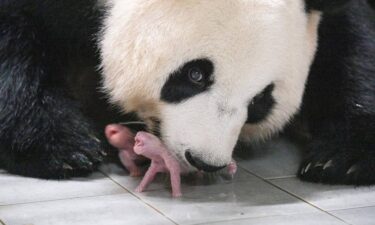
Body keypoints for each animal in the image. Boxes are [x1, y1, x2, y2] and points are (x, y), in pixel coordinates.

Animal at [0, 0, 374, 185]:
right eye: (196, 75)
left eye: (260, 101)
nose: (205, 161)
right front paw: (63, 148)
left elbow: (351, 44)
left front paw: (342, 159)